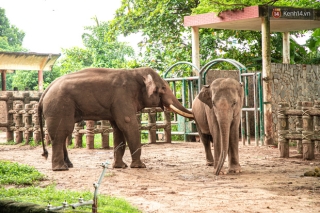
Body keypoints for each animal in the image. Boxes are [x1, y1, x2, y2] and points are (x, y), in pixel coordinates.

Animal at [37, 68, 192, 171]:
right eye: (163, 88)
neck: (136, 72)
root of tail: (45, 91)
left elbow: (118, 129)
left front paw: (120, 167)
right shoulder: (122, 97)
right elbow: (128, 124)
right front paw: (139, 166)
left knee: (63, 133)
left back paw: (68, 165)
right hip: (59, 106)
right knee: (61, 133)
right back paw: (60, 169)